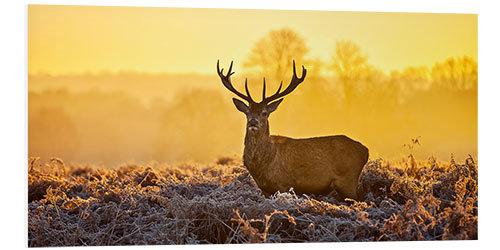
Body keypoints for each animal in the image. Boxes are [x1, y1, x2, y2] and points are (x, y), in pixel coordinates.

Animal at [217, 59, 370, 200]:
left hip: (348, 179)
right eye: (247, 112)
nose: (253, 121)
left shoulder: (284, 184)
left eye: (265, 113)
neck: (264, 165)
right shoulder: (265, 190)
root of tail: (365, 150)